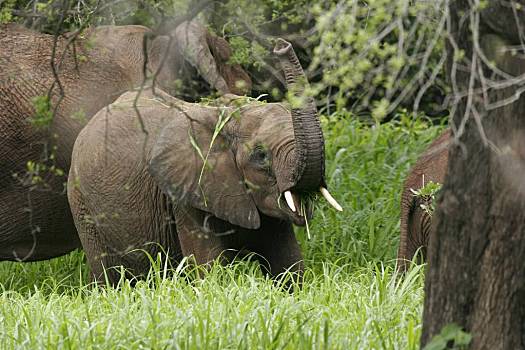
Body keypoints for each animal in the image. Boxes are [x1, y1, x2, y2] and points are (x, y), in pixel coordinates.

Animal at [66, 39, 344, 284]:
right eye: (260, 156)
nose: (281, 45)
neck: (224, 118)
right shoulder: (186, 196)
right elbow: (209, 270)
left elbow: (288, 267)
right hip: (81, 203)